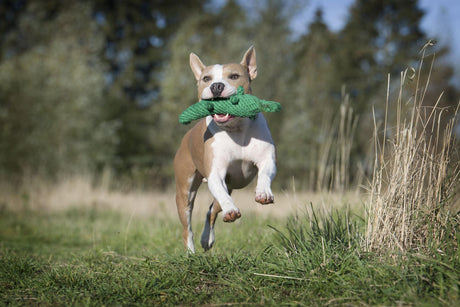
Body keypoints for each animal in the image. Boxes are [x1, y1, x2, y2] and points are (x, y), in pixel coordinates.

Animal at [173, 46, 276, 253]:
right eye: (206, 78)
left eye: (234, 76)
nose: (216, 86)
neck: (236, 129)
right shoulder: (216, 174)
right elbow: (222, 195)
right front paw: (231, 210)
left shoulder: (266, 159)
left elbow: (264, 173)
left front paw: (263, 193)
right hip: (184, 193)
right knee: (187, 227)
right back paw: (190, 253)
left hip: (229, 187)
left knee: (211, 210)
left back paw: (207, 239)